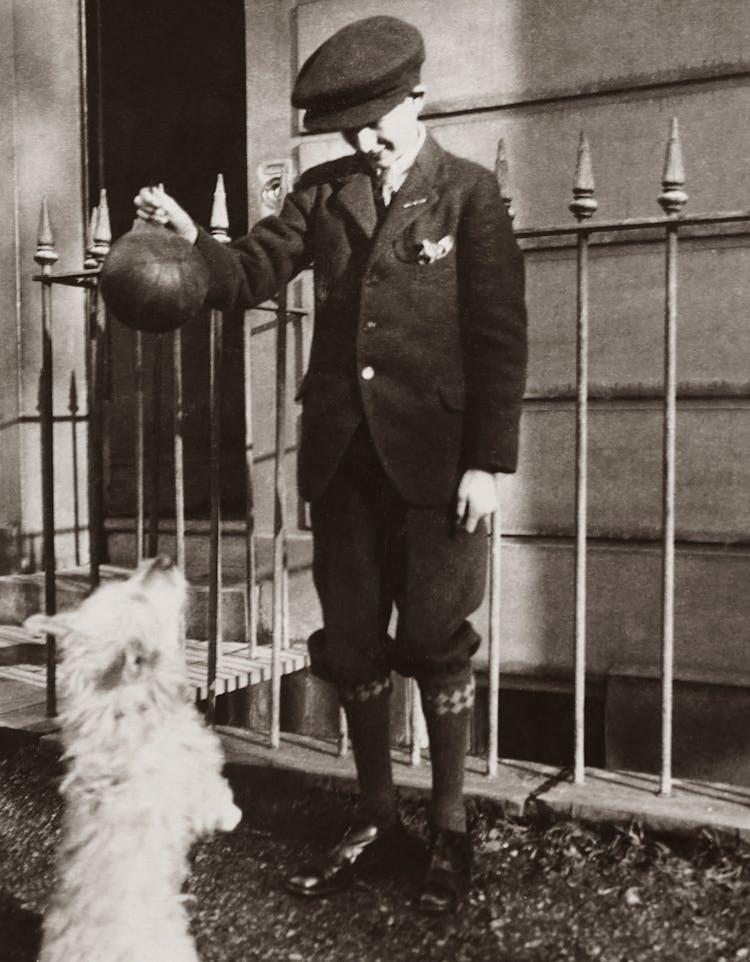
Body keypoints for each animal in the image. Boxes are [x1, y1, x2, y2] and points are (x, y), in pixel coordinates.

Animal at [25, 556, 241, 960]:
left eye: (125, 584)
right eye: (139, 598)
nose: (163, 559)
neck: (125, 703)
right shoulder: (194, 778)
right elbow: (216, 795)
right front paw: (231, 816)